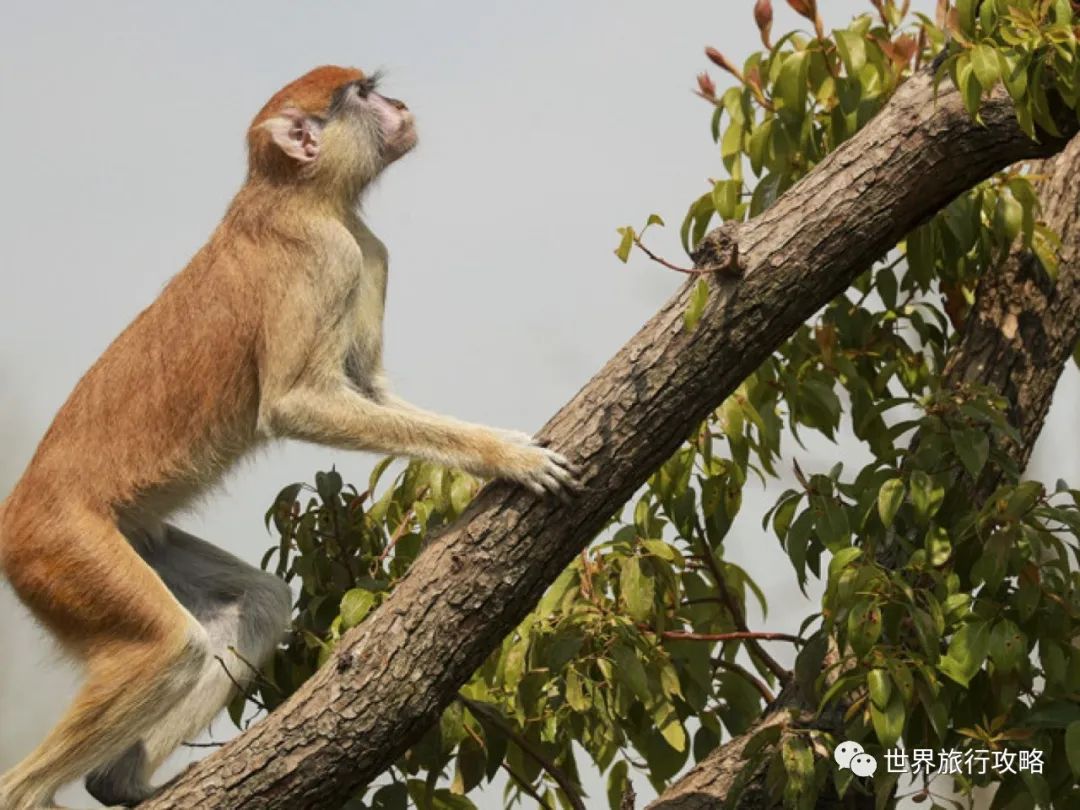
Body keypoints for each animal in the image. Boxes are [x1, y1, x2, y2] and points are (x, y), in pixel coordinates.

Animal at [0, 65, 578, 810]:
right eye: (362, 92)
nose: (400, 106)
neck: (297, 197)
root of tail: (17, 514)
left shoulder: (366, 250)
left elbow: (367, 390)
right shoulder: (326, 258)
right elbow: (297, 403)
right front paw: (507, 456)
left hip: (120, 541)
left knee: (254, 603)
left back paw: (118, 782)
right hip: (62, 550)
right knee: (168, 649)